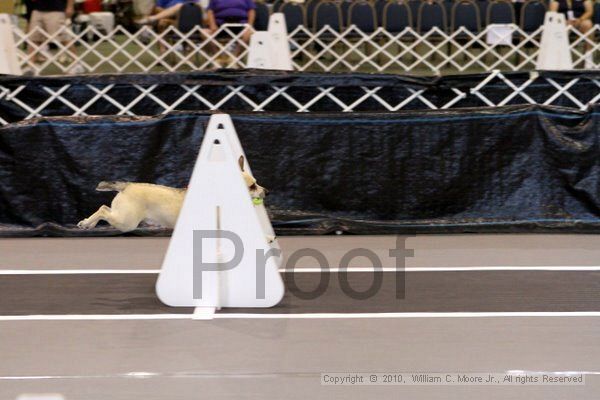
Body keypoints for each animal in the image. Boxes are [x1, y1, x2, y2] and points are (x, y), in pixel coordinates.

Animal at [78, 155, 266, 233]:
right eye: (252, 186)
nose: (267, 191)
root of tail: (128, 186)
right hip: (126, 221)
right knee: (103, 210)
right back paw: (87, 223)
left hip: (122, 215)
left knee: (104, 208)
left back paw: (88, 224)